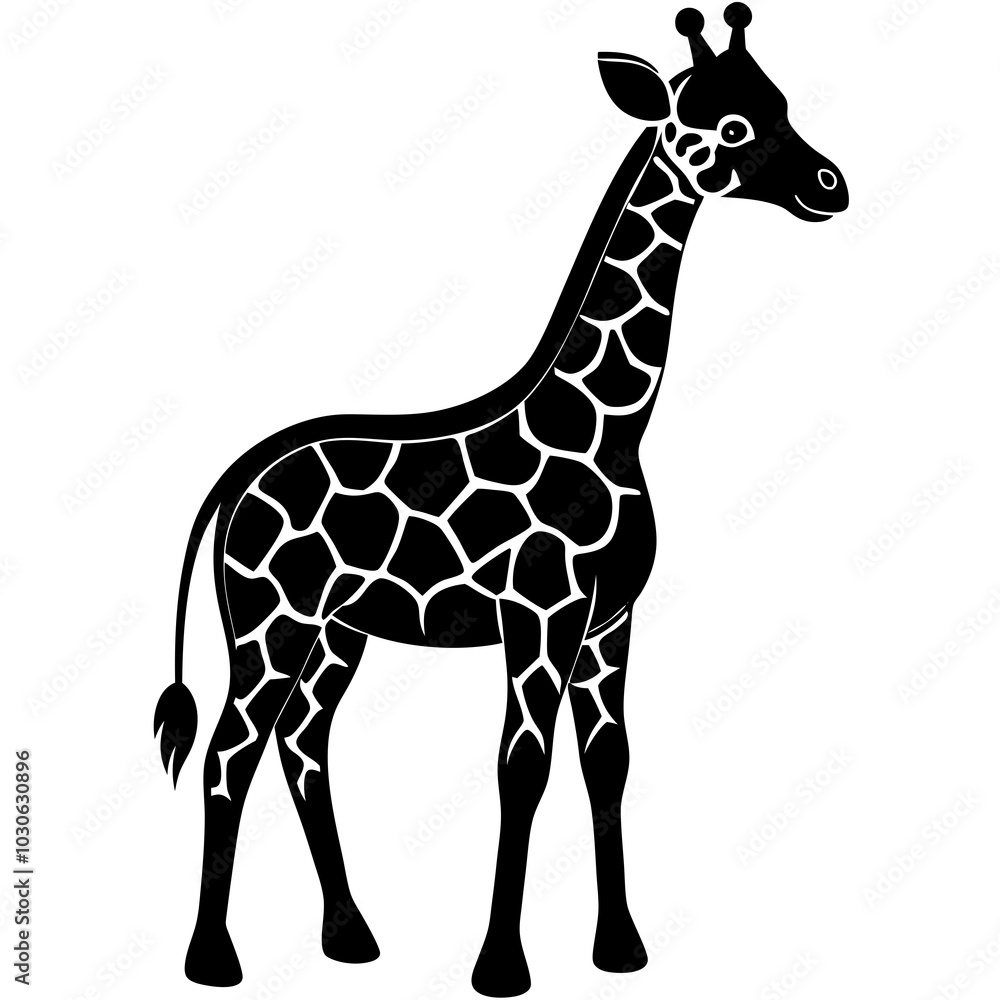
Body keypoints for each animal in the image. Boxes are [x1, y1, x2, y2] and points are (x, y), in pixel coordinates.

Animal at [154, 6, 848, 996]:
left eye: (783, 103)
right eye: (726, 126)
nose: (832, 185)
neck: (608, 426)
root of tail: (236, 478)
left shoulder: (609, 618)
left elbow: (608, 762)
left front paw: (621, 949)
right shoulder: (540, 613)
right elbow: (522, 768)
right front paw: (500, 966)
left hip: (339, 631)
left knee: (304, 744)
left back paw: (351, 936)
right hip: (269, 619)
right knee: (230, 750)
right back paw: (213, 959)